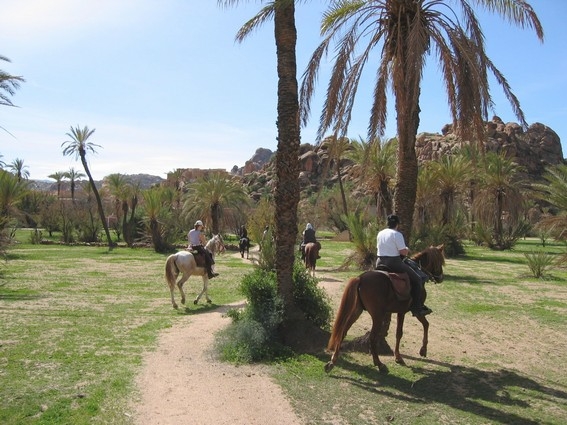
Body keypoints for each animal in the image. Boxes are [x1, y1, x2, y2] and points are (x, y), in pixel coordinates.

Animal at [326, 243, 446, 372]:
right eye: (440, 261)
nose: (441, 277)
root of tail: (361, 278)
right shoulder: (409, 311)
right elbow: (417, 327)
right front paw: (420, 351)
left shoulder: (399, 311)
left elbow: (401, 332)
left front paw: (399, 356)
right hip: (378, 315)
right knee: (372, 337)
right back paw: (379, 364)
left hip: (357, 311)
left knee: (343, 331)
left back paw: (332, 361)